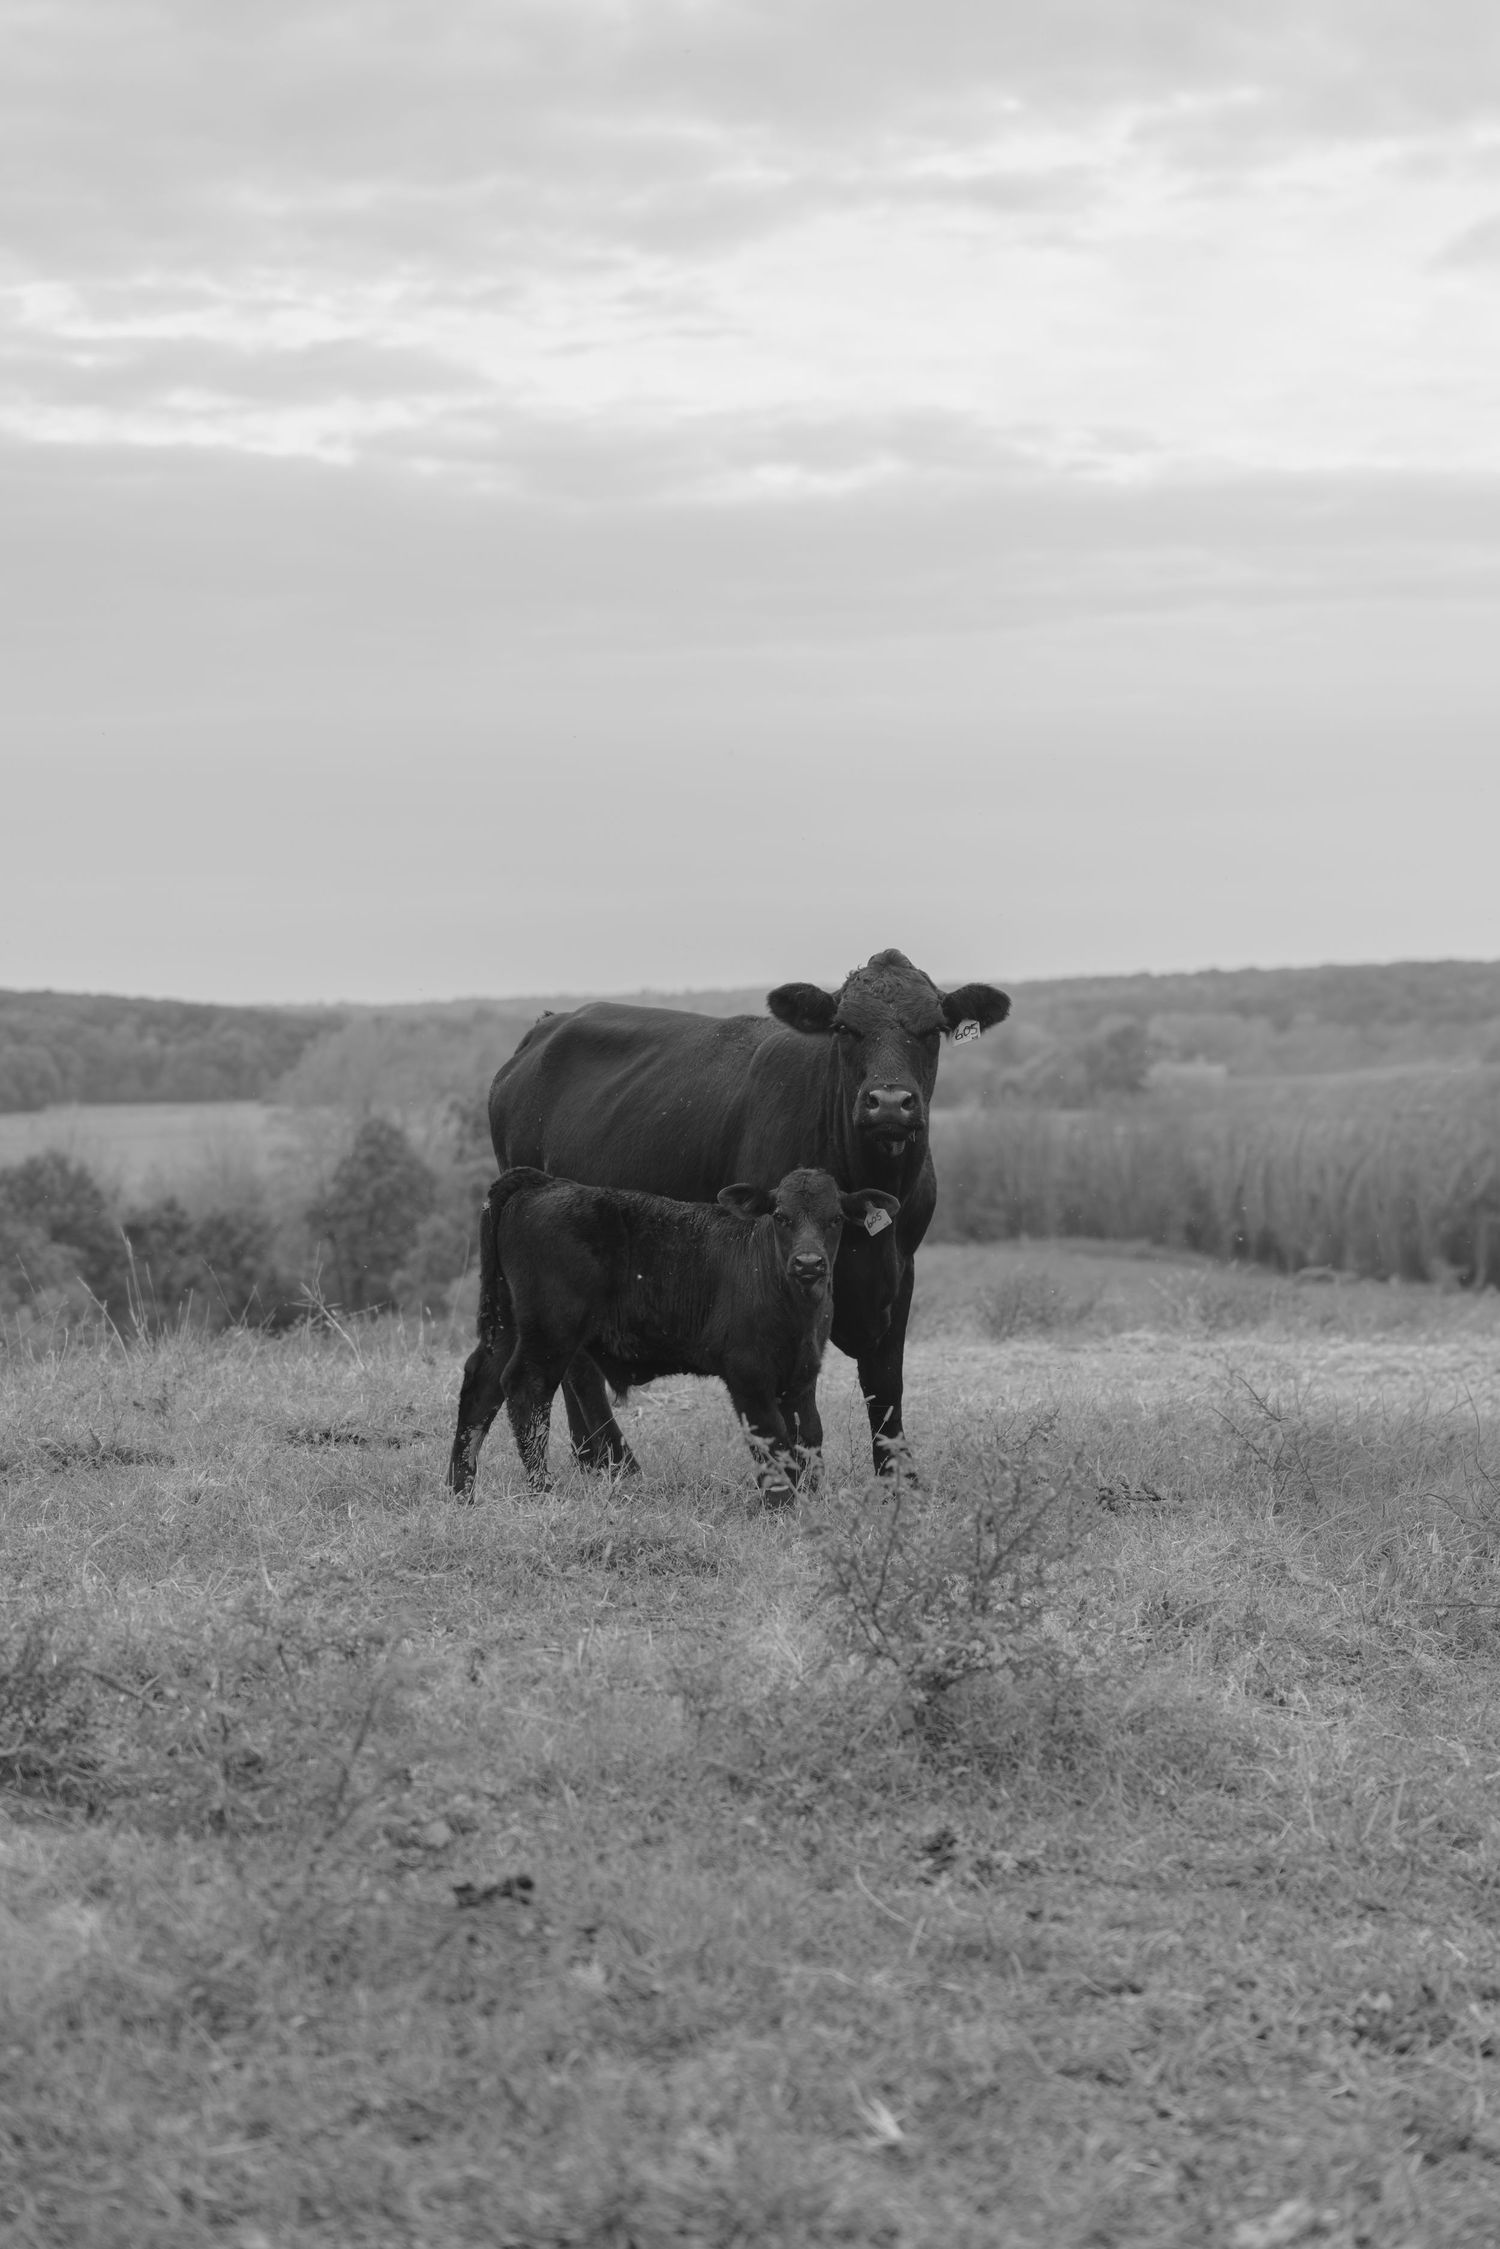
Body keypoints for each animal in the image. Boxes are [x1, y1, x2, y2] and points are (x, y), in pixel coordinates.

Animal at [448, 1166, 900, 1503]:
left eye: (835, 1219)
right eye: (780, 1216)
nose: (808, 1263)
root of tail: (543, 1183)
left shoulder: (802, 1376)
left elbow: (809, 1436)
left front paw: (811, 1498)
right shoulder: (748, 1375)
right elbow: (773, 1440)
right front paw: (782, 1505)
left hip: (508, 1324)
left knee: (482, 1385)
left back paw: (461, 1491)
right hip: (551, 1328)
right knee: (527, 1388)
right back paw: (542, 1490)